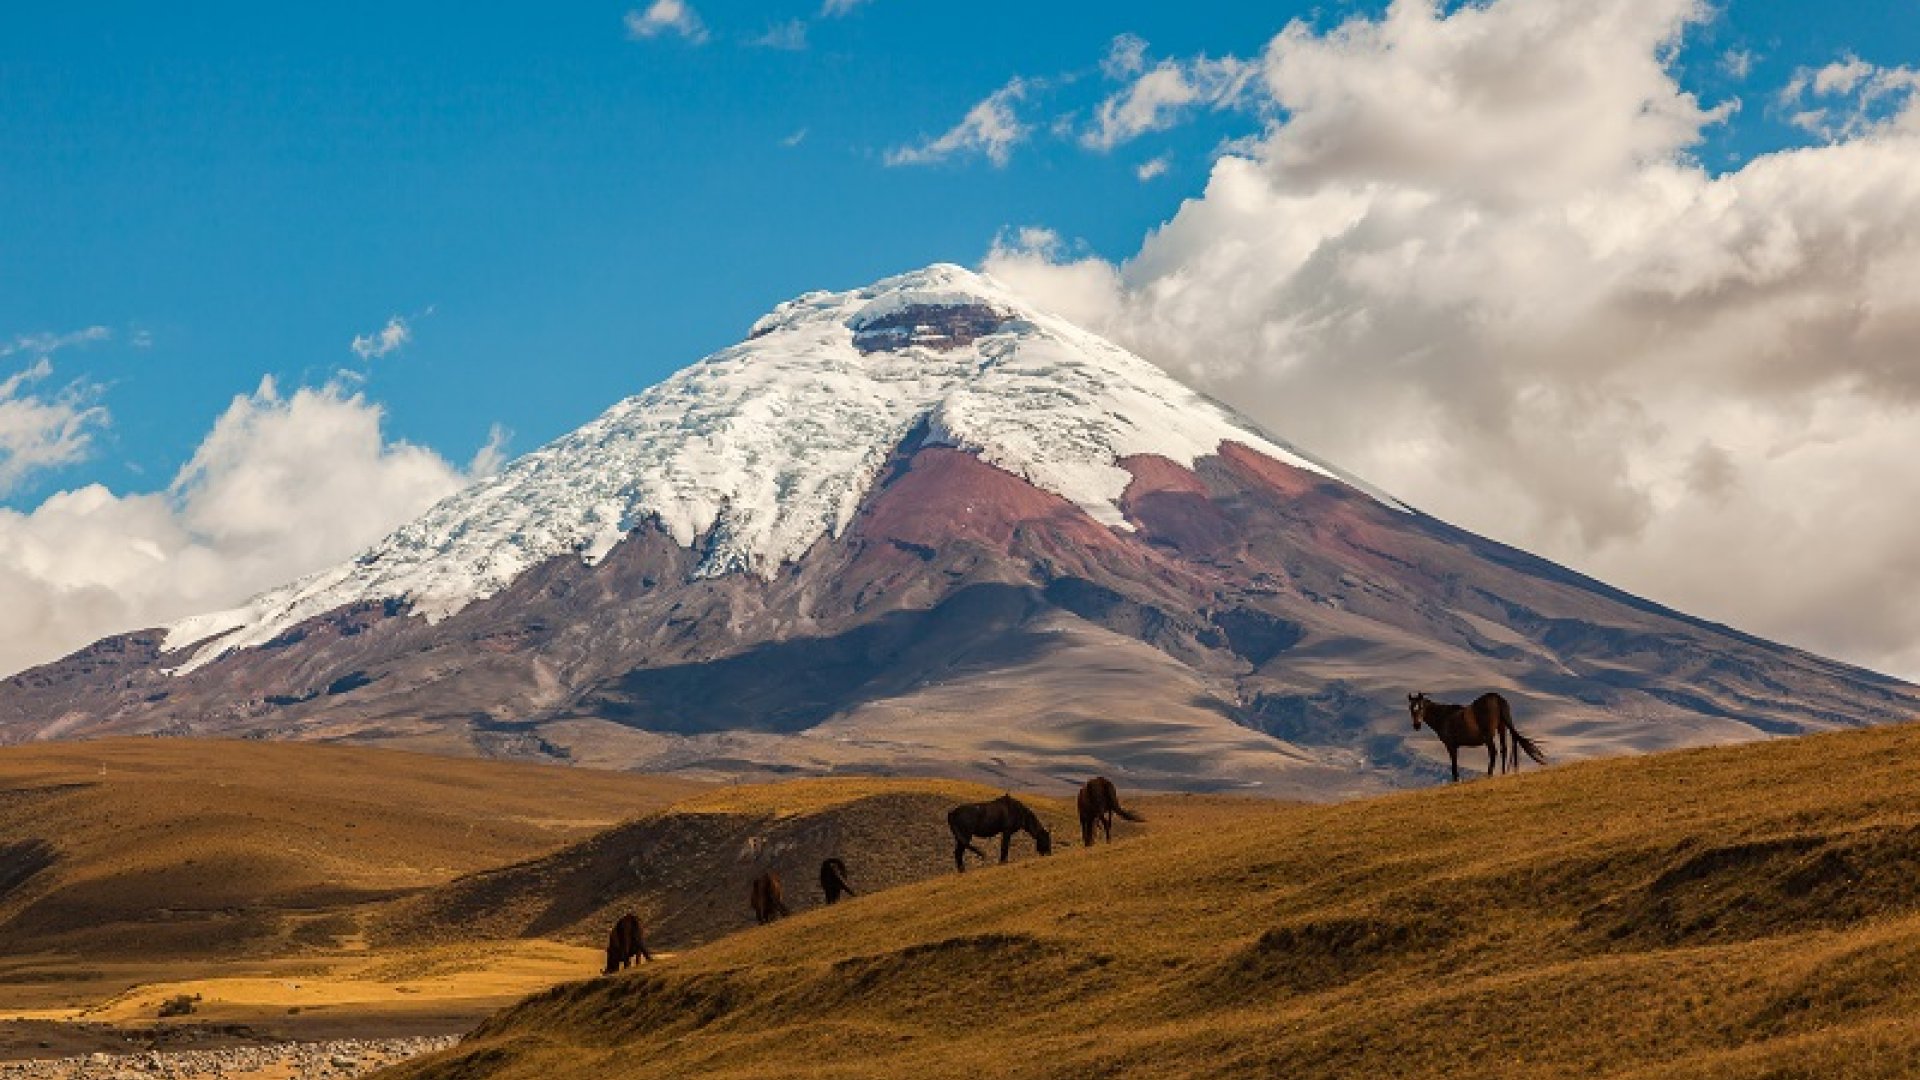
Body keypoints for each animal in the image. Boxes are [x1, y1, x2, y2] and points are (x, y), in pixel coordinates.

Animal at [1405, 687, 1551, 780]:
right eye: (1411, 708)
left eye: (1421, 707)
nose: (1416, 725)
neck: (1443, 716)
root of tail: (1497, 698)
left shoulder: (1451, 746)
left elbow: (1454, 766)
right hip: (1502, 727)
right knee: (1503, 749)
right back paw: (1503, 773)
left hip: (1488, 735)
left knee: (1493, 752)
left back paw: (1489, 774)